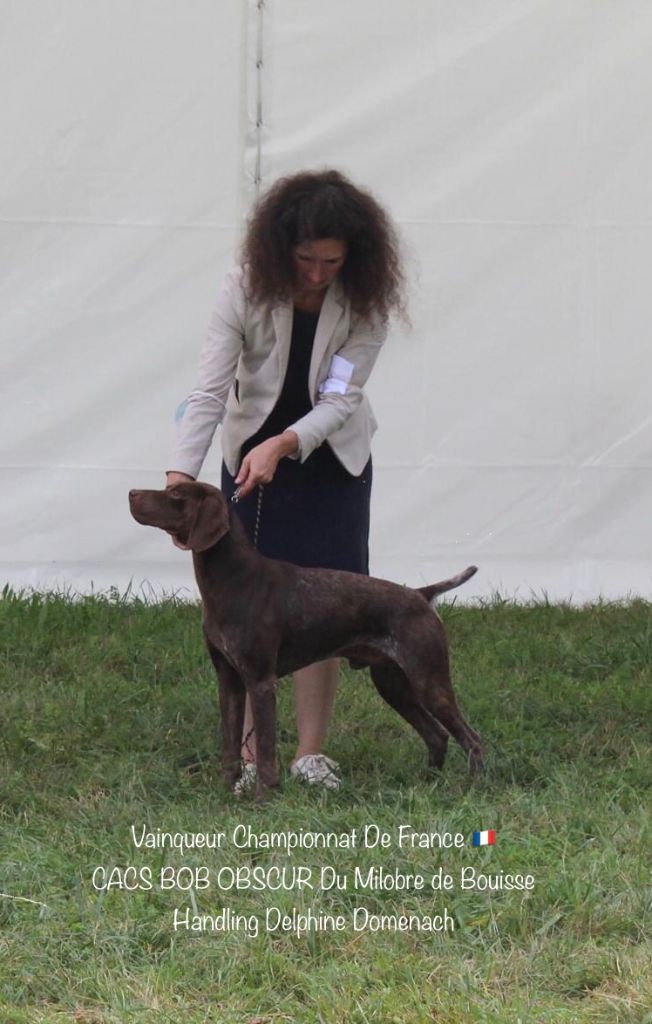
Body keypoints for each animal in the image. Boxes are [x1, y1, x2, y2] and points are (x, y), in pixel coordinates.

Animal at [128, 481, 483, 798]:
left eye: (176, 493)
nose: (132, 493)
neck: (232, 579)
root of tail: (421, 595)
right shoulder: (229, 681)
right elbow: (230, 749)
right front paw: (224, 793)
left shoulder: (260, 681)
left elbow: (266, 750)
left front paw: (263, 800)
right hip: (393, 684)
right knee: (437, 736)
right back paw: (426, 784)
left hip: (429, 681)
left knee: (471, 739)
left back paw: (473, 788)